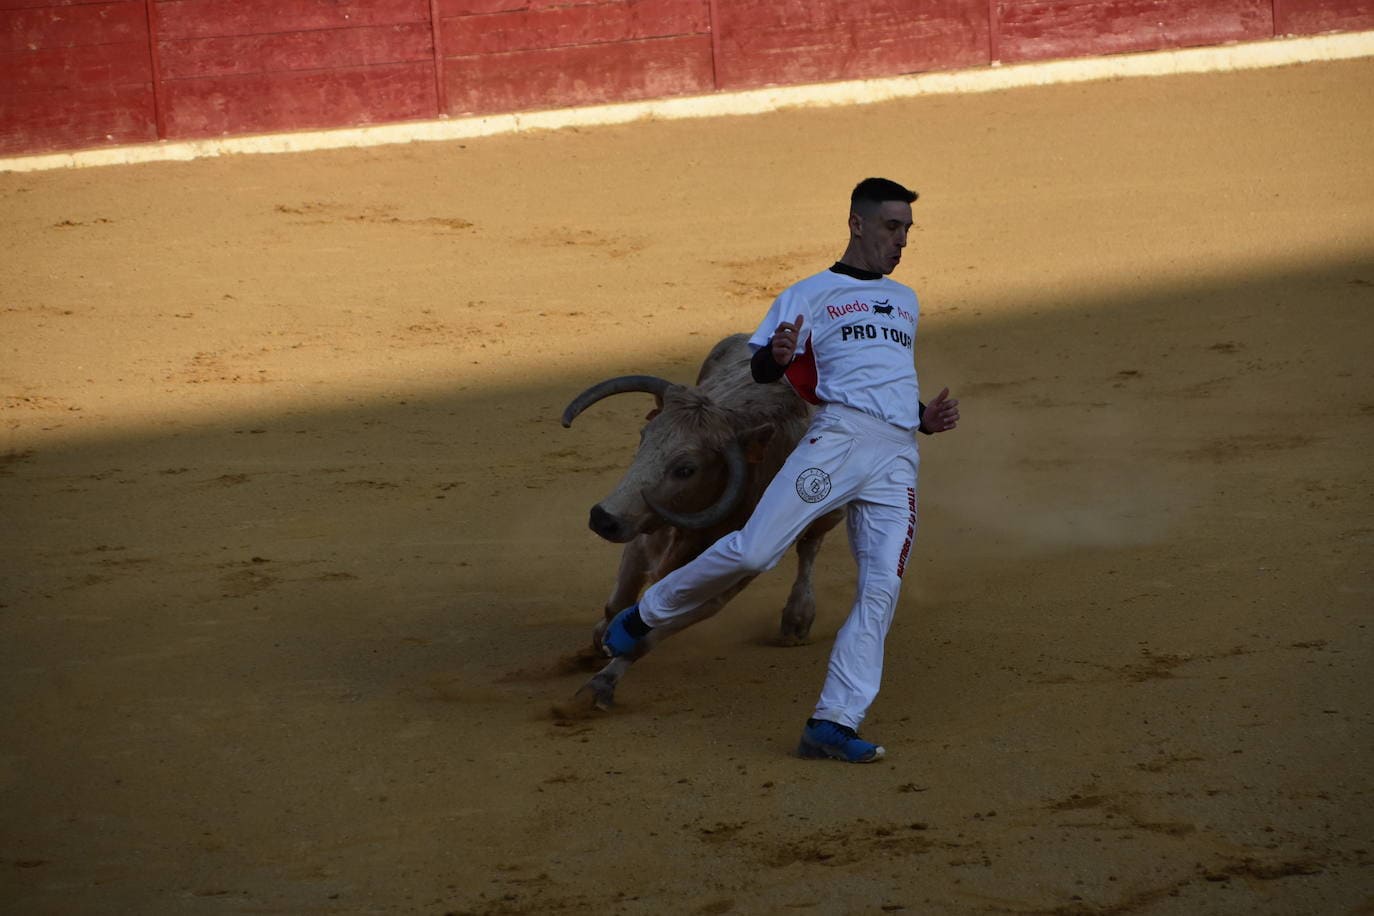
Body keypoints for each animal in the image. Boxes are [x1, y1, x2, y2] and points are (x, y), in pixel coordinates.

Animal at [555, 333, 835, 714]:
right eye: (644, 436)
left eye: (686, 469)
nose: (603, 518)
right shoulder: (643, 533)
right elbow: (618, 602)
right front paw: (598, 642)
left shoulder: (725, 584)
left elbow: (649, 634)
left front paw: (598, 687)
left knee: (810, 546)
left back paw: (797, 619)